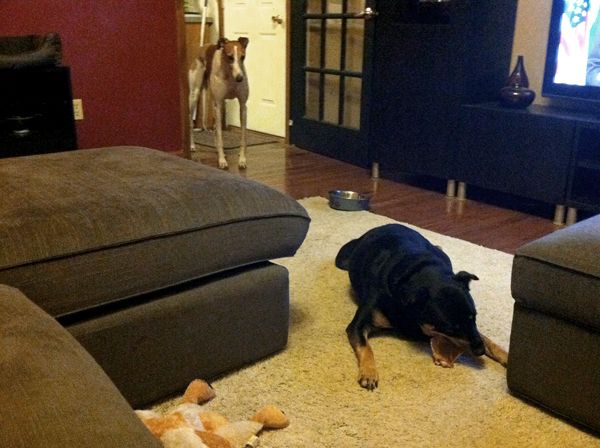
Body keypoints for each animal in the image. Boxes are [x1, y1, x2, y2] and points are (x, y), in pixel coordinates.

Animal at [336, 223, 508, 388]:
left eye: (475, 317)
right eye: (451, 329)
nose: (480, 351)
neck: (418, 274)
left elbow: (485, 338)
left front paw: (506, 356)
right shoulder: (358, 325)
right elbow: (366, 347)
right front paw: (369, 373)